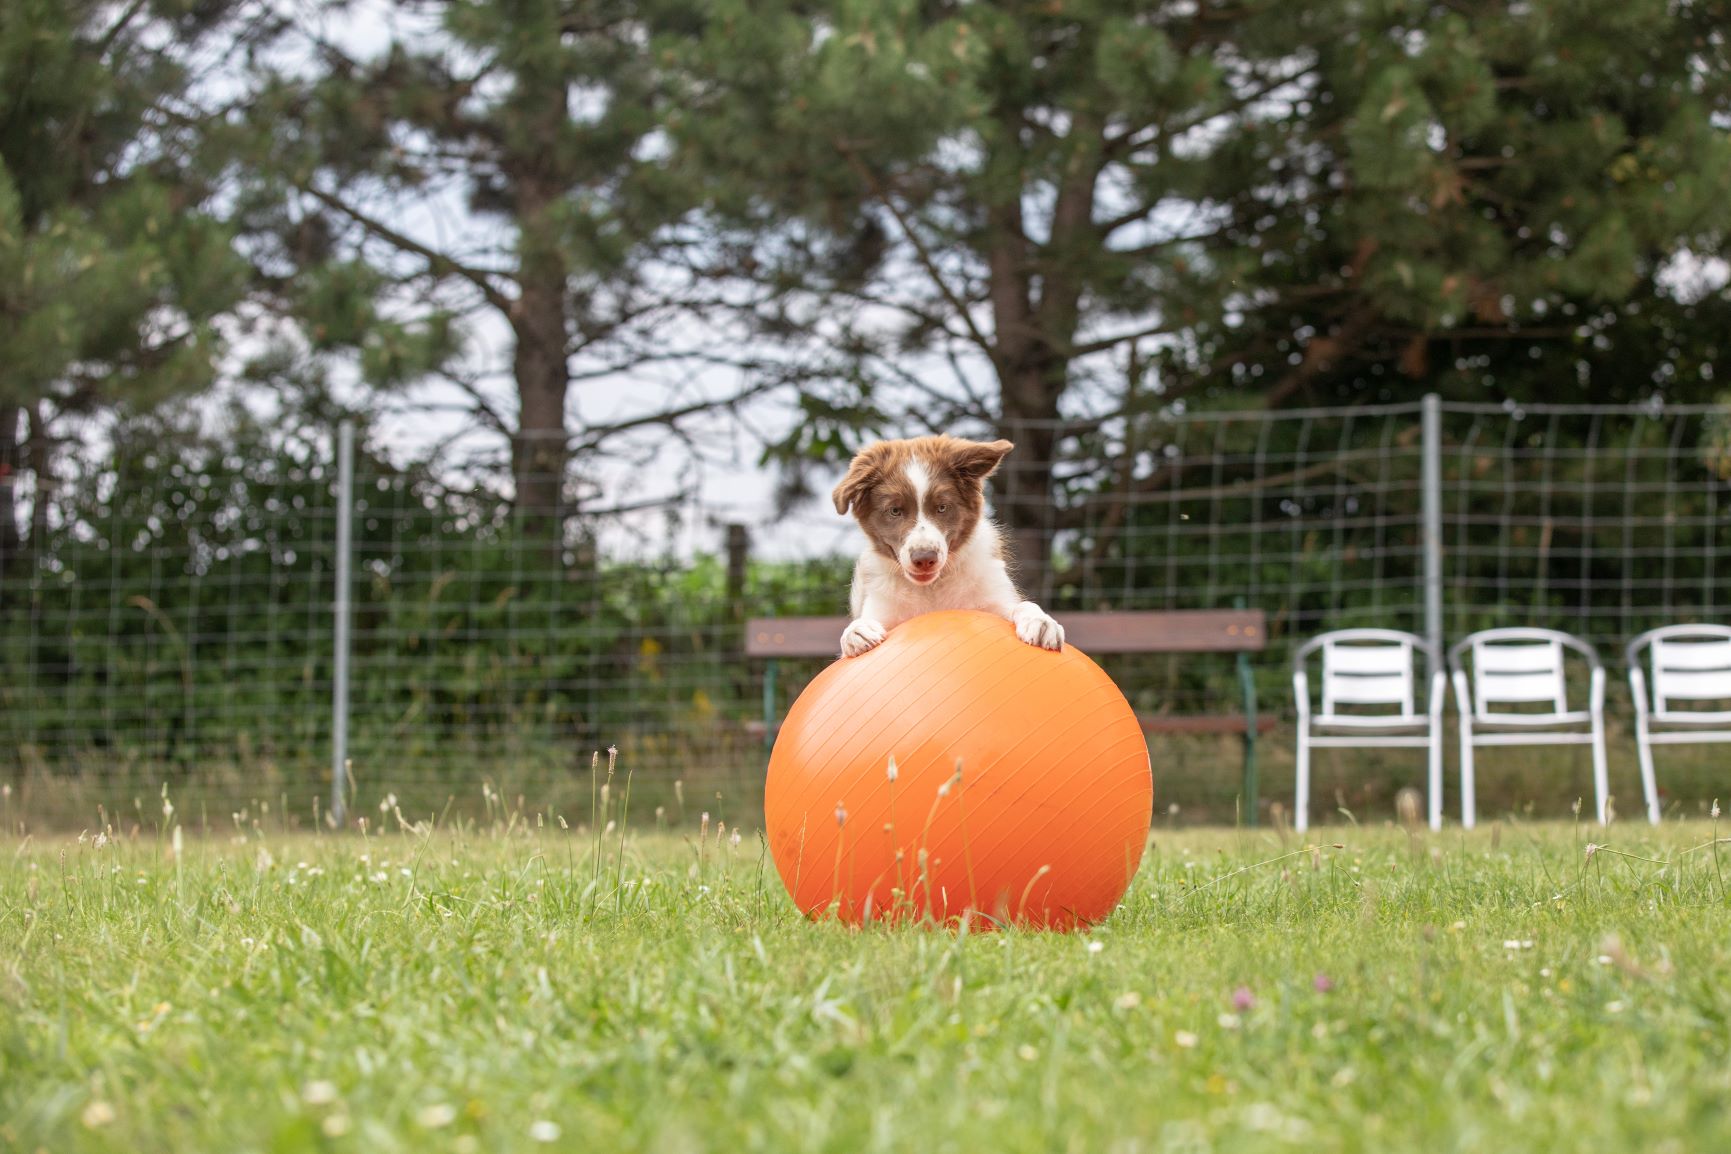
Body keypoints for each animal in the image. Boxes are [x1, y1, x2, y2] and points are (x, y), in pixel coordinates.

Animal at [830, 435, 1059, 653]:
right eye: (894, 511)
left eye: (942, 507)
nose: (925, 559)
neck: (931, 589)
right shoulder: (882, 609)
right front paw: (856, 631)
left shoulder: (997, 598)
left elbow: (1021, 605)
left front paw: (1040, 621)